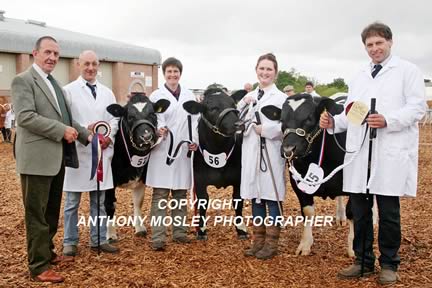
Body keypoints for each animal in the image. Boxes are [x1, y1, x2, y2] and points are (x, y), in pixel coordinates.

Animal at [104, 93, 170, 240]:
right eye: (130, 117)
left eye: (153, 114)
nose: (146, 136)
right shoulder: (109, 181)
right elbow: (110, 204)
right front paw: (110, 234)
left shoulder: (141, 179)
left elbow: (138, 202)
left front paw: (139, 228)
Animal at [183, 88, 250, 241]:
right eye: (213, 108)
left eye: (233, 104)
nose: (239, 124)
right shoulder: (199, 180)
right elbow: (203, 202)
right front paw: (201, 230)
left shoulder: (239, 179)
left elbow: (238, 201)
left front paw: (241, 229)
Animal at [260, 94, 354, 256]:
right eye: (281, 120)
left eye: (309, 118)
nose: (288, 149)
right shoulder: (297, 184)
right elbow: (308, 212)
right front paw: (305, 244)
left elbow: (354, 212)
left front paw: (353, 248)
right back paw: (340, 216)